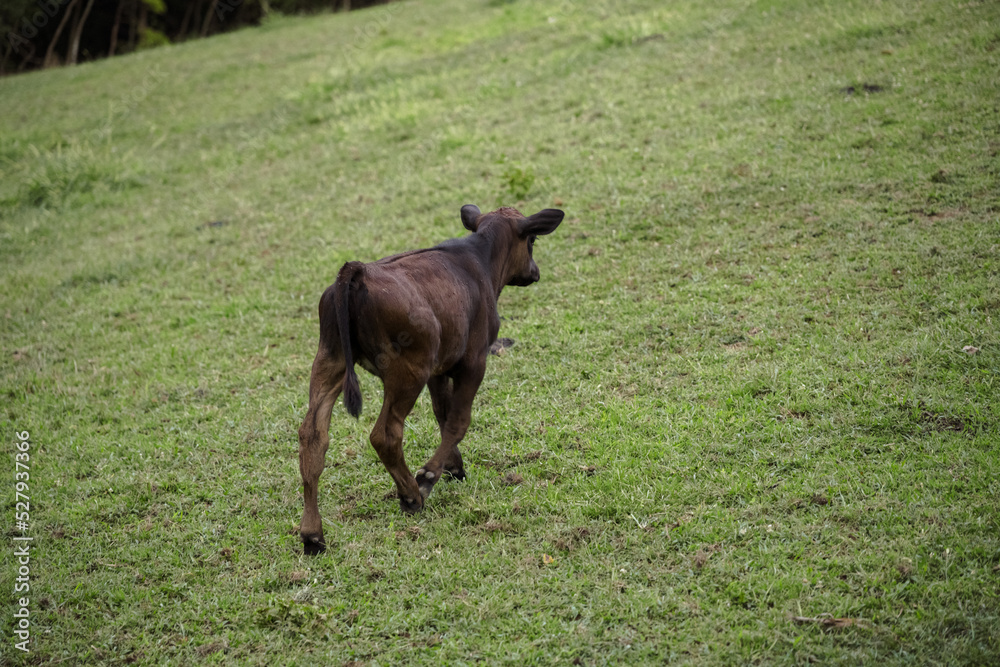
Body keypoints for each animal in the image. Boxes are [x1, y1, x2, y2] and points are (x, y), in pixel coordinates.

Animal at [297, 204, 564, 554]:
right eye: (532, 240)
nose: (534, 272)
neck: (478, 259)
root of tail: (358, 272)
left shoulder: (440, 369)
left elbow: (442, 413)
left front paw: (454, 466)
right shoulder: (473, 362)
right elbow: (458, 420)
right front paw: (430, 475)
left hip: (331, 360)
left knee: (313, 436)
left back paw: (312, 535)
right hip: (408, 371)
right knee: (385, 434)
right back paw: (412, 494)